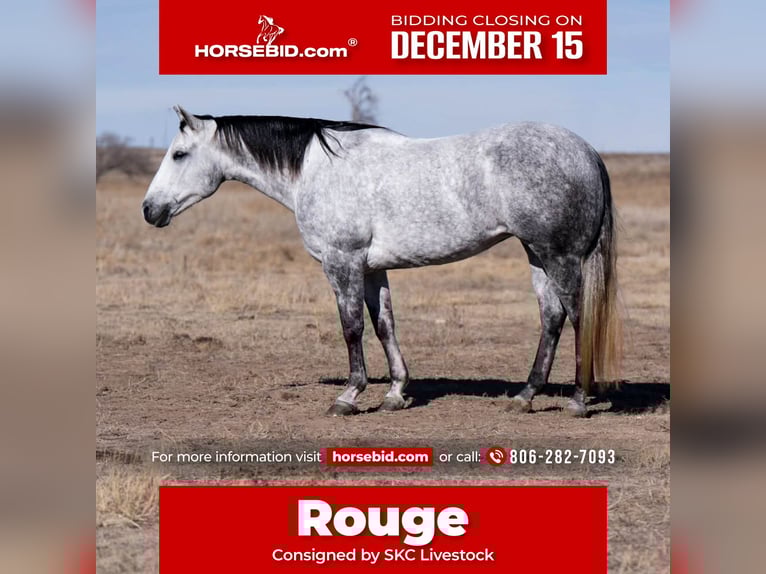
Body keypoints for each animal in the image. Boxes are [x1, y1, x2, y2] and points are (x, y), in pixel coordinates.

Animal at [142, 106, 622, 417]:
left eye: (179, 154)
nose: (150, 210)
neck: (317, 169)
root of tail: (587, 152)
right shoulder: (373, 269)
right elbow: (384, 324)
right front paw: (395, 393)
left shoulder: (342, 263)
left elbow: (351, 327)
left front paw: (348, 397)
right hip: (537, 254)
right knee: (551, 318)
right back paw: (525, 395)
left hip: (559, 256)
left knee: (579, 317)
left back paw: (577, 400)